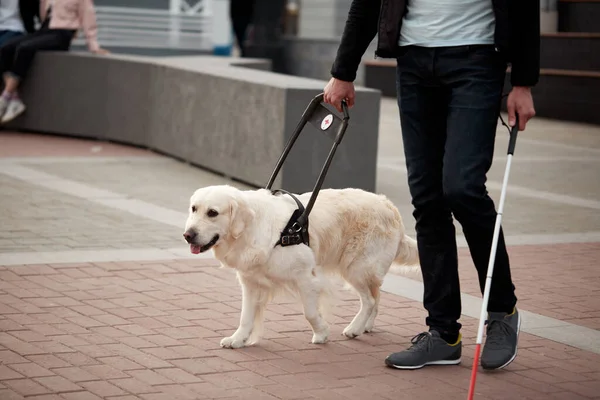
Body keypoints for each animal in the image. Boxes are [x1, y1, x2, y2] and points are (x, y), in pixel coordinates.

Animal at [183, 184, 418, 346]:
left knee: (369, 300)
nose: (187, 235)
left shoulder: (306, 278)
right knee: (376, 297)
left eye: (212, 213)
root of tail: (391, 208)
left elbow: (310, 313)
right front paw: (238, 339)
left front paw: (321, 333)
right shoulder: (250, 282)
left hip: (356, 268)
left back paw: (354, 328)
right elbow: (245, 317)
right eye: (194, 209)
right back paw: (365, 327)